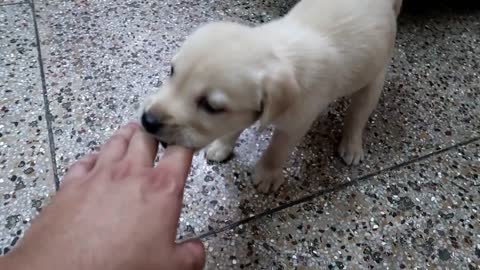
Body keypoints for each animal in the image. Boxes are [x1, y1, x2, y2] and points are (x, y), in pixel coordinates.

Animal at [142, 0, 402, 193]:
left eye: (211, 107)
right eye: (172, 72)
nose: (148, 120)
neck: (280, 51)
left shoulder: (297, 121)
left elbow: (278, 149)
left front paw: (267, 175)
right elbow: (234, 127)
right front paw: (222, 146)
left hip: (375, 77)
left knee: (358, 115)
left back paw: (351, 145)